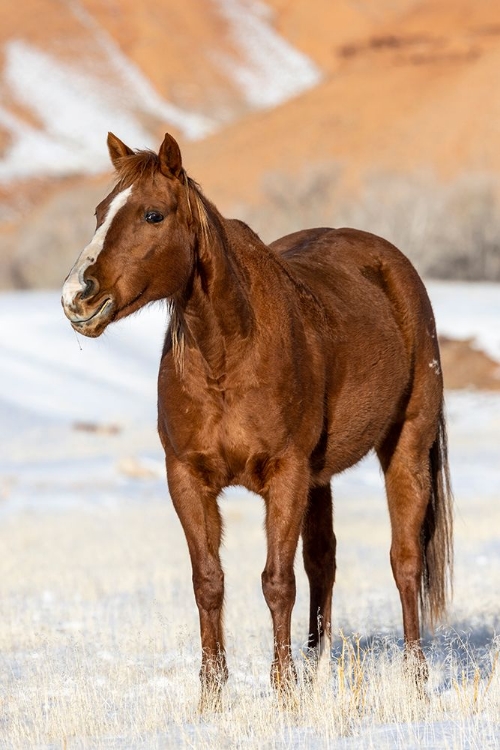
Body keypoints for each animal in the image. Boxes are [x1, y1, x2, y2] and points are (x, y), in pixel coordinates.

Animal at [61, 131, 454, 704]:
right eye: (98, 212)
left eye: (153, 215)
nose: (77, 296)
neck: (226, 355)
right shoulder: (187, 477)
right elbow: (209, 581)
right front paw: (212, 696)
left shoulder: (285, 475)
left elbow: (276, 582)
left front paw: (284, 692)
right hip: (320, 478)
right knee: (324, 562)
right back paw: (319, 669)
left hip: (405, 451)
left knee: (404, 562)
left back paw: (416, 680)